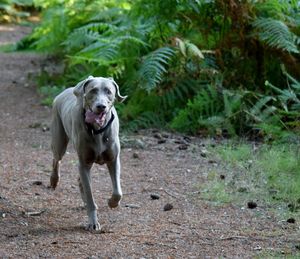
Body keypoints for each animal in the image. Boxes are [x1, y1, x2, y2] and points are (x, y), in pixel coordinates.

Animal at [50, 75, 126, 232]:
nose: (101, 106)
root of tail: (65, 90)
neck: (97, 130)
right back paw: (54, 180)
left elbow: (118, 192)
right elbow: (90, 194)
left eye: (109, 91)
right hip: (59, 140)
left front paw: (112, 203)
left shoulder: (114, 160)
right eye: (93, 90)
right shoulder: (84, 163)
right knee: (56, 159)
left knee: (80, 181)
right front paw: (93, 222)